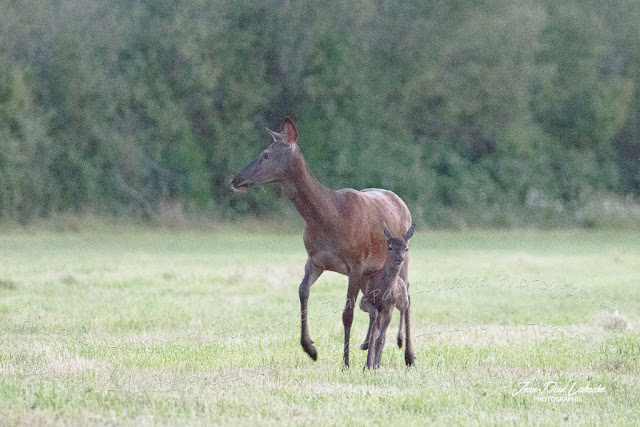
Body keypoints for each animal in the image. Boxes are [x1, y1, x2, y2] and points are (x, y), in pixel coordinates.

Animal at [230, 117, 416, 368]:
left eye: (266, 155)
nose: (235, 179)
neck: (331, 218)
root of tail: (401, 201)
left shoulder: (356, 263)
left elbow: (347, 314)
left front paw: (345, 362)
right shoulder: (315, 260)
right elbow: (302, 291)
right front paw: (310, 348)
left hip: (404, 258)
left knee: (407, 296)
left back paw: (408, 354)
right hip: (373, 271)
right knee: (377, 307)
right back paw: (368, 344)